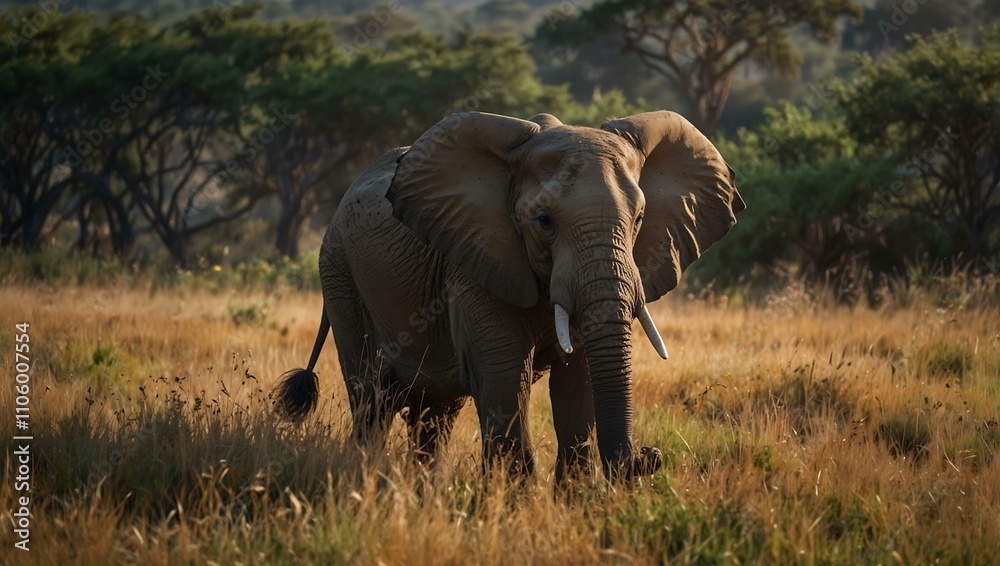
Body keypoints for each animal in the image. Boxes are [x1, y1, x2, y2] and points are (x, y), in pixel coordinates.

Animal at [274, 110, 744, 482]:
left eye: (640, 218)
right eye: (544, 220)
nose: (649, 456)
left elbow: (579, 380)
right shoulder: (473, 257)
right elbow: (503, 373)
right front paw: (515, 503)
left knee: (434, 414)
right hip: (340, 276)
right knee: (372, 399)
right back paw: (365, 476)